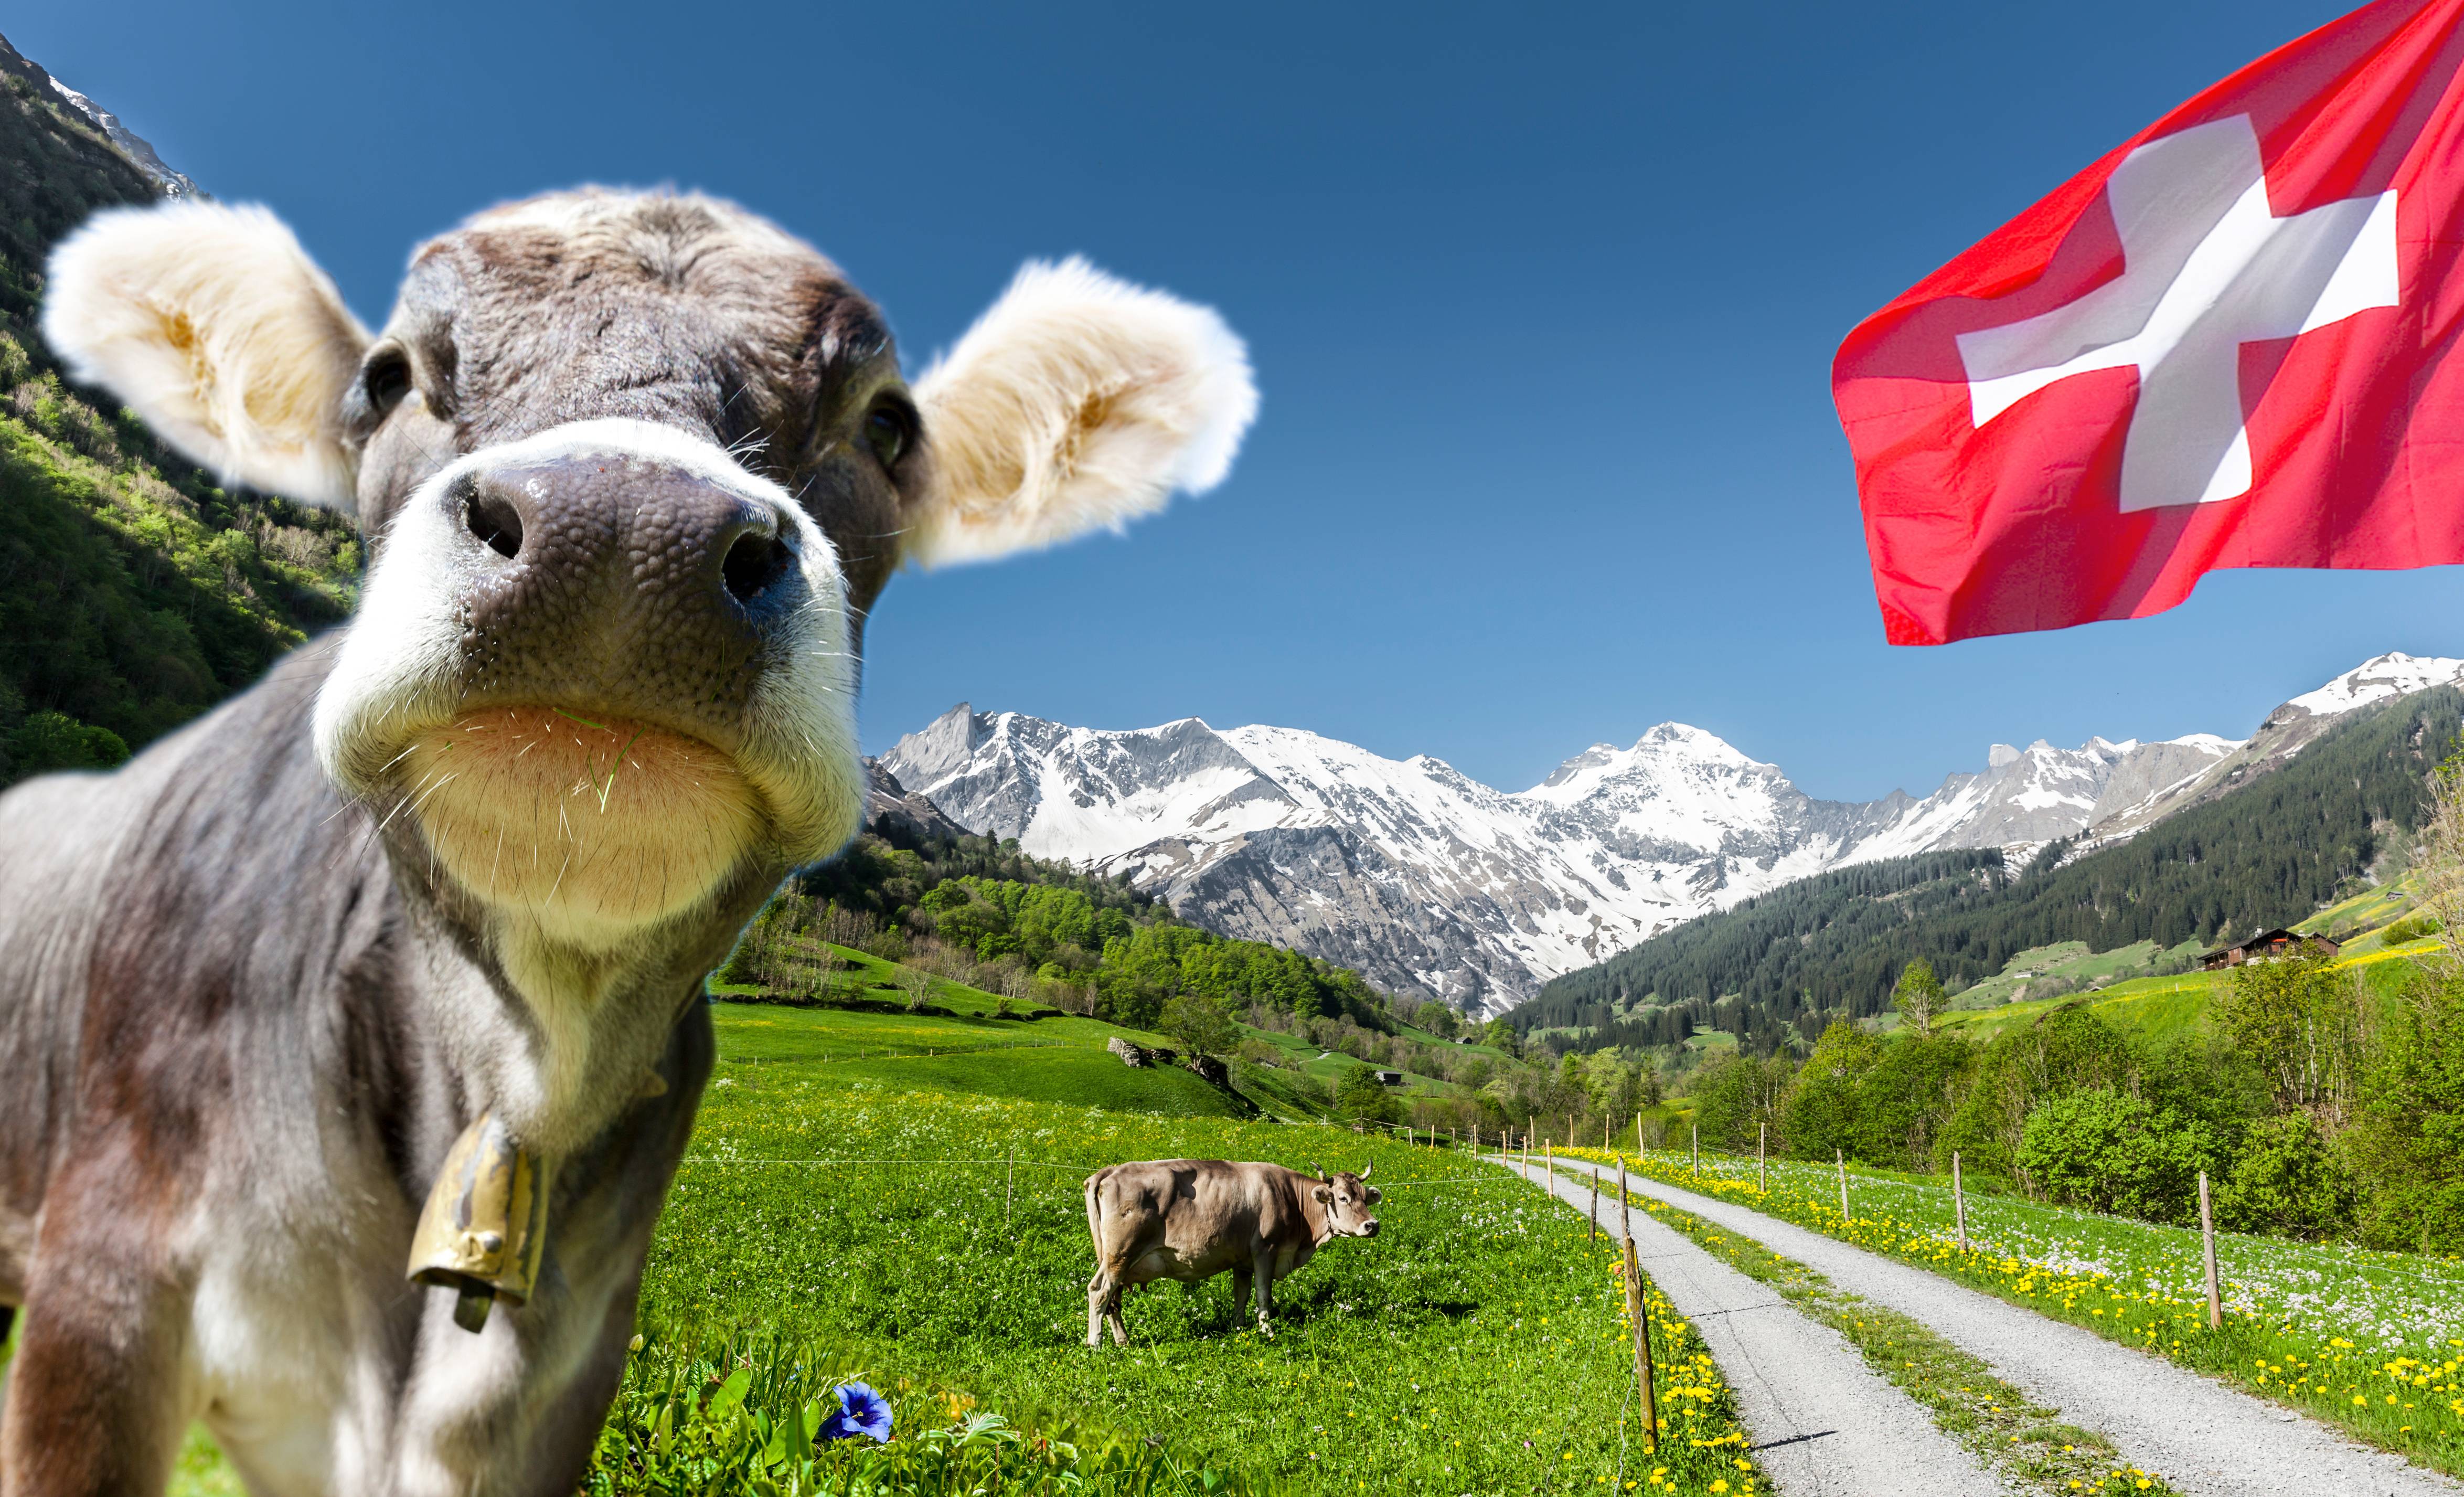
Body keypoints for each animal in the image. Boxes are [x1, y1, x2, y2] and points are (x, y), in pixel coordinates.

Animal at [0, 191, 1253, 1496]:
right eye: (388, 377)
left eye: (887, 423)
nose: (617, 533)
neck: (526, 1071)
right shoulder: (104, 1288)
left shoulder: (563, 1372)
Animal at [1082, 1160, 1380, 1346]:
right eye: (1343, 1198)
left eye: (1365, 1197)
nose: (1372, 1225)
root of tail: (1110, 1171)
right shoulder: (1266, 1250)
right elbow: (1263, 1294)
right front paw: (1267, 1330)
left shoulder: (1243, 1262)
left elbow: (1242, 1296)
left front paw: (1240, 1328)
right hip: (1120, 1255)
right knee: (1099, 1292)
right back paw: (1095, 1344)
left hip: (1117, 1260)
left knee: (1113, 1301)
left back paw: (1123, 1341)